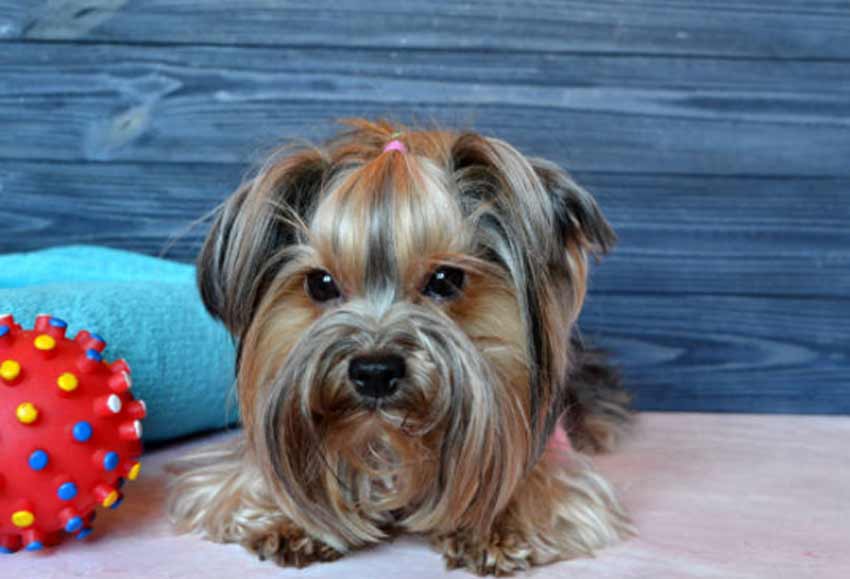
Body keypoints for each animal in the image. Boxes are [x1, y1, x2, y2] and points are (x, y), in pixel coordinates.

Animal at [167, 119, 628, 576]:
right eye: (321, 283)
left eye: (445, 280)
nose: (374, 372)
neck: (387, 438)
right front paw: (291, 520)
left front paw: (494, 525)